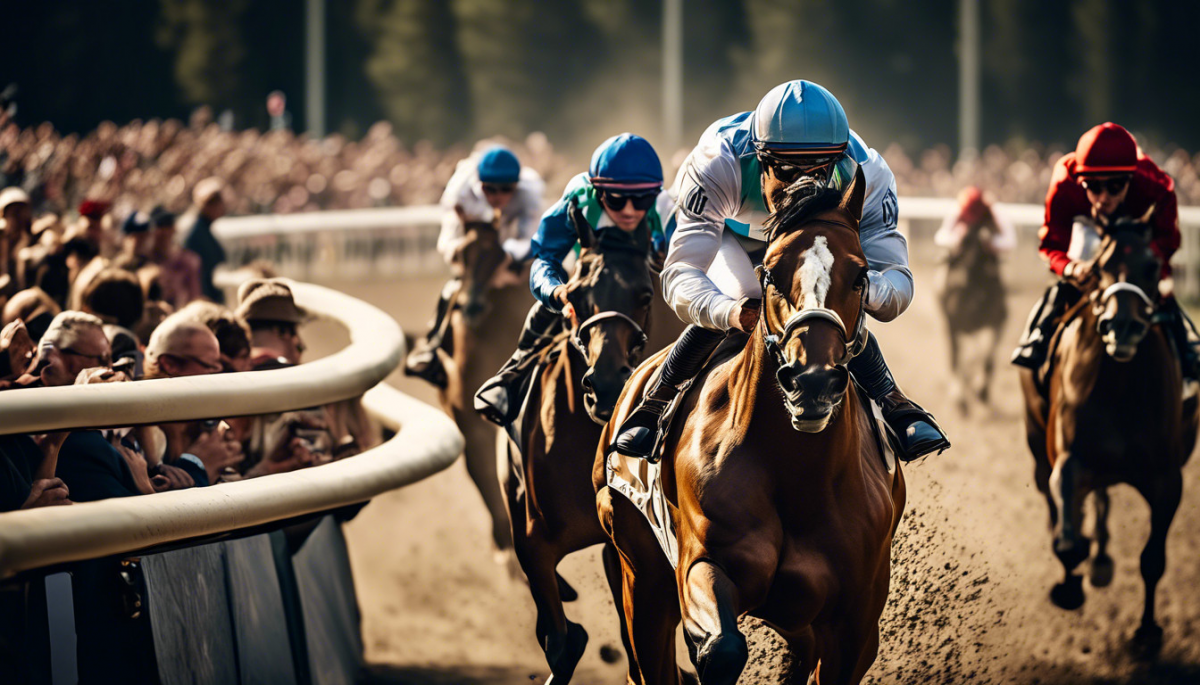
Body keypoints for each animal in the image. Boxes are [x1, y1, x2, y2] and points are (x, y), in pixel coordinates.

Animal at [499, 205, 657, 683]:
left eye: (645, 294)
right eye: (577, 297)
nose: (604, 386)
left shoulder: (623, 542)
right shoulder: (533, 542)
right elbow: (563, 641)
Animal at [596, 173, 906, 685]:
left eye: (861, 275)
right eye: (770, 275)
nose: (812, 380)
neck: (795, 471)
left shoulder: (855, 621)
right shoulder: (700, 564)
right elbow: (720, 648)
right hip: (641, 572)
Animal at [937, 218, 1008, 415]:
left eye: (984, 253)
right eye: (962, 253)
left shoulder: (998, 322)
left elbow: (986, 356)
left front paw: (981, 392)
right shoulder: (956, 325)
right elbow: (962, 357)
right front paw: (962, 398)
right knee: (956, 355)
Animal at [1019, 213, 1197, 657]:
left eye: (1152, 266)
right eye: (1100, 267)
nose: (1123, 327)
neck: (1119, 383)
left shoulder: (1167, 479)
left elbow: (1153, 559)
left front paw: (1147, 632)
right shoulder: (1068, 457)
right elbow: (1066, 536)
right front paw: (1070, 584)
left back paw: (1100, 559)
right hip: (1036, 443)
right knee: (1054, 502)